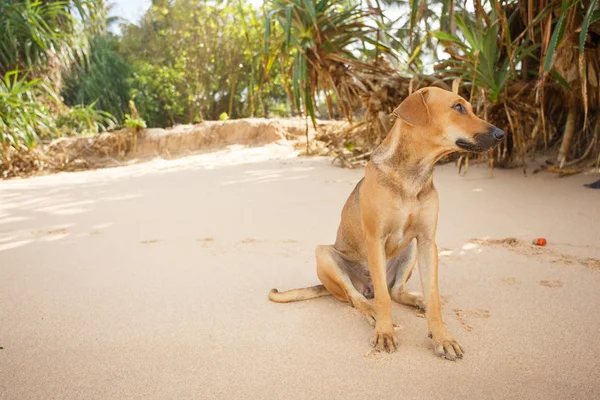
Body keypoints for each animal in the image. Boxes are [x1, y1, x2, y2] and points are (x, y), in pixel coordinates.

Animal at [270, 86, 504, 360]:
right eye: (458, 107)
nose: (502, 134)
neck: (413, 174)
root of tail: (365, 286)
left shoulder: (427, 242)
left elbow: (433, 297)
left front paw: (442, 337)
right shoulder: (375, 239)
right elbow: (383, 297)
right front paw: (384, 332)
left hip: (410, 250)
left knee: (396, 291)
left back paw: (418, 301)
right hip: (325, 255)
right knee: (358, 297)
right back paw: (370, 310)